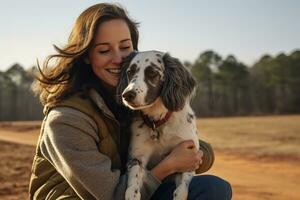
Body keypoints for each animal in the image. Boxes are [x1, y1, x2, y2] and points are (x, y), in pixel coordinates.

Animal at [117, 50, 199, 200]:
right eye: (130, 72)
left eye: (152, 73)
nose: (127, 95)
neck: (158, 122)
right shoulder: (137, 156)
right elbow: (133, 180)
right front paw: (132, 194)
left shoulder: (189, 156)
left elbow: (182, 189)